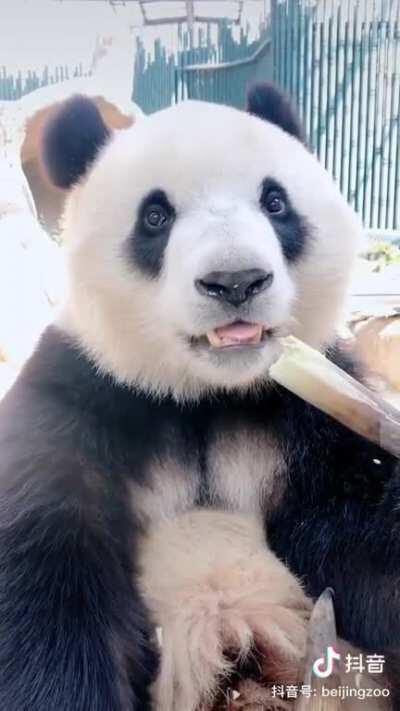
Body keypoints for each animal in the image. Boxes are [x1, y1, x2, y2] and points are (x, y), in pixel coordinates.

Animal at [0, 84, 399, 711]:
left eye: (275, 203)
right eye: (155, 216)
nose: (236, 281)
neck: (206, 395)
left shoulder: (310, 415)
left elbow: (362, 545)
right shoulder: (77, 397)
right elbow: (45, 585)